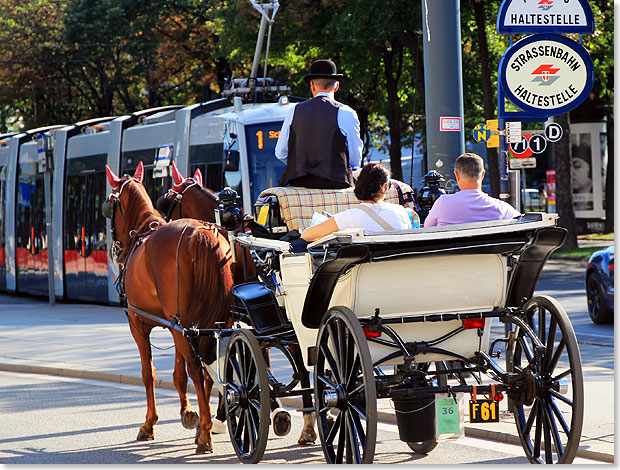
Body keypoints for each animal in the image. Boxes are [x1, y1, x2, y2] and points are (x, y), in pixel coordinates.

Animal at [104, 162, 235, 452]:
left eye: (108, 204)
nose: (114, 247)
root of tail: (201, 232)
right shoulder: (176, 326)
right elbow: (178, 374)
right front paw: (189, 413)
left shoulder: (138, 324)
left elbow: (149, 373)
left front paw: (149, 423)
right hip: (210, 324)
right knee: (209, 369)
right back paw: (207, 425)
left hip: (181, 326)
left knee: (198, 369)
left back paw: (206, 433)